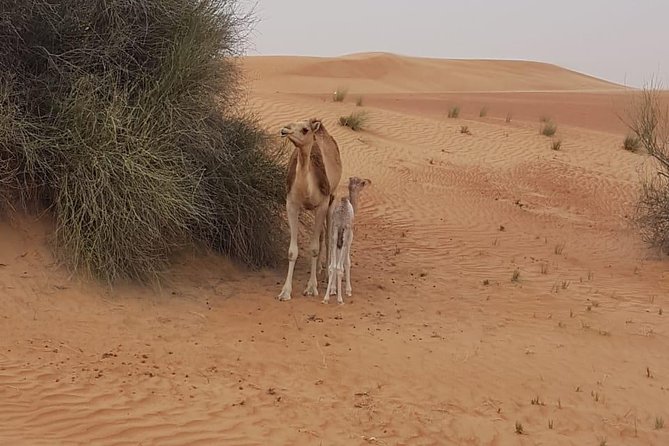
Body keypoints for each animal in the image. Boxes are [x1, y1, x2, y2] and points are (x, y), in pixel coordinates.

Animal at [278, 118, 342, 301]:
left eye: (305, 130)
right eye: (291, 123)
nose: (284, 130)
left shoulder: (322, 204)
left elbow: (314, 248)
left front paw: (312, 287)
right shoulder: (291, 204)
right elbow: (292, 251)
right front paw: (285, 291)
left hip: (331, 199)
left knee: (327, 235)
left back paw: (327, 274)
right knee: (321, 235)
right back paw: (320, 268)